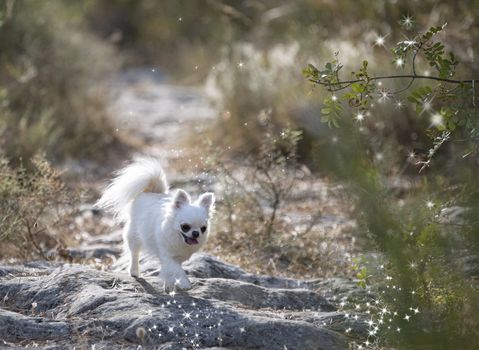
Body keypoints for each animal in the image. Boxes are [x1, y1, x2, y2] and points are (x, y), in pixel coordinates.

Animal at [96, 158, 215, 290]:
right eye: (185, 227)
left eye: (203, 228)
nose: (195, 233)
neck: (179, 239)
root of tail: (151, 192)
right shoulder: (167, 255)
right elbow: (177, 269)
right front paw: (185, 283)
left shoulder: (176, 257)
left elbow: (171, 270)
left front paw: (170, 285)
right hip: (134, 235)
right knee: (134, 253)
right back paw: (134, 271)